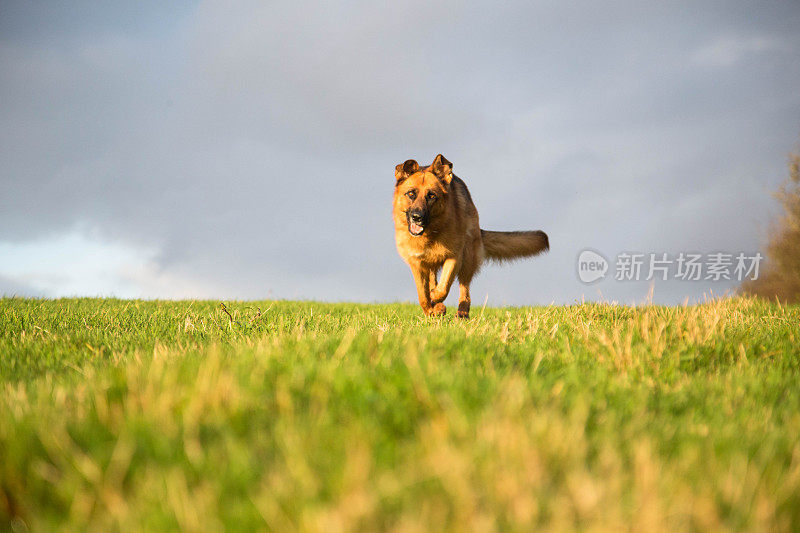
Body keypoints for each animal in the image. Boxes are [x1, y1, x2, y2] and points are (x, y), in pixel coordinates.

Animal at [394, 156, 552, 318]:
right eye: (411, 194)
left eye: (431, 196)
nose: (417, 217)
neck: (430, 234)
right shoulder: (417, 263)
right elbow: (422, 296)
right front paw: (432, 309)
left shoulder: (454, 257)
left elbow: (443, 287)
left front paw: (435, 298)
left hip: (468, 258)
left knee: (464, 289)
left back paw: (462, 312)